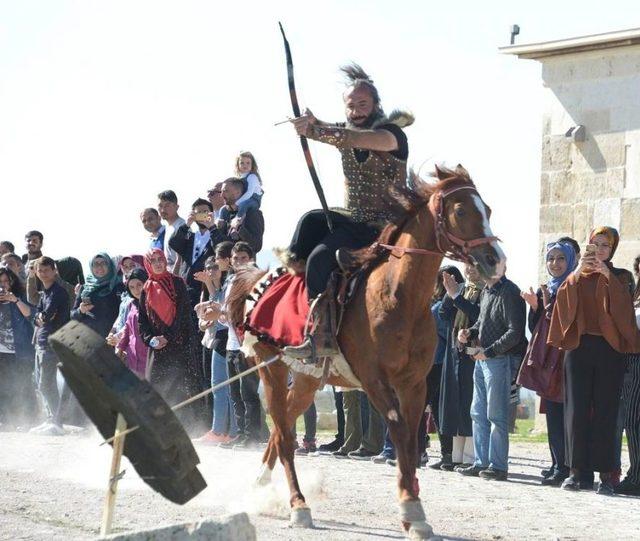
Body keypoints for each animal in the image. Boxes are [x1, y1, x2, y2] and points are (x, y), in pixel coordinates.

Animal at [228, 166, 502, 540]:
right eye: (461, 211)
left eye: (486, 210)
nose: (495, 261)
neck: (396, 295)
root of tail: (258, 282)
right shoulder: (375, 380)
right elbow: (400, 431)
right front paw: (411, 507)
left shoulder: (414, 384)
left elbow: (410, 437)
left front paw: (414, 510)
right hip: (272, 370)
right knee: (283, 434)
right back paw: (297, 505)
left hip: (307, 379)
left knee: (281, 426)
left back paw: (261, 487)